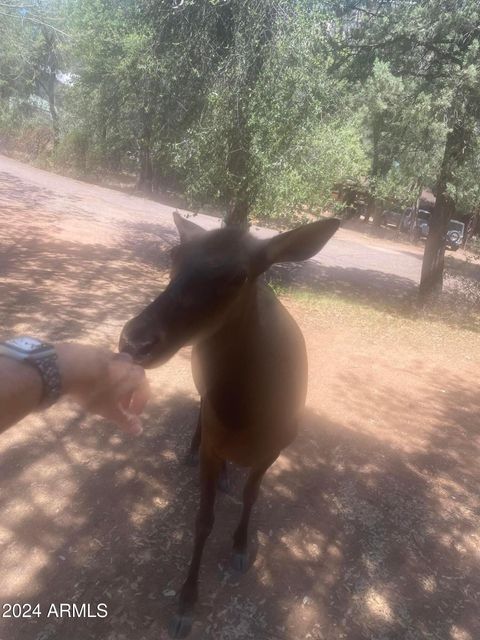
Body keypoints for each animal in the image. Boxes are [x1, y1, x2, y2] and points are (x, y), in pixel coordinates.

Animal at [118, 214, 340, 636]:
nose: (135, 342)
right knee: (200, 408)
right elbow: (203, 520)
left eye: (239, 275)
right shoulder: (214, 441)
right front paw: (186, 603)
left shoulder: (277, 447)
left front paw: (239, 549)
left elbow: (252, 496)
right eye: (174, 254)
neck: (247, 419)